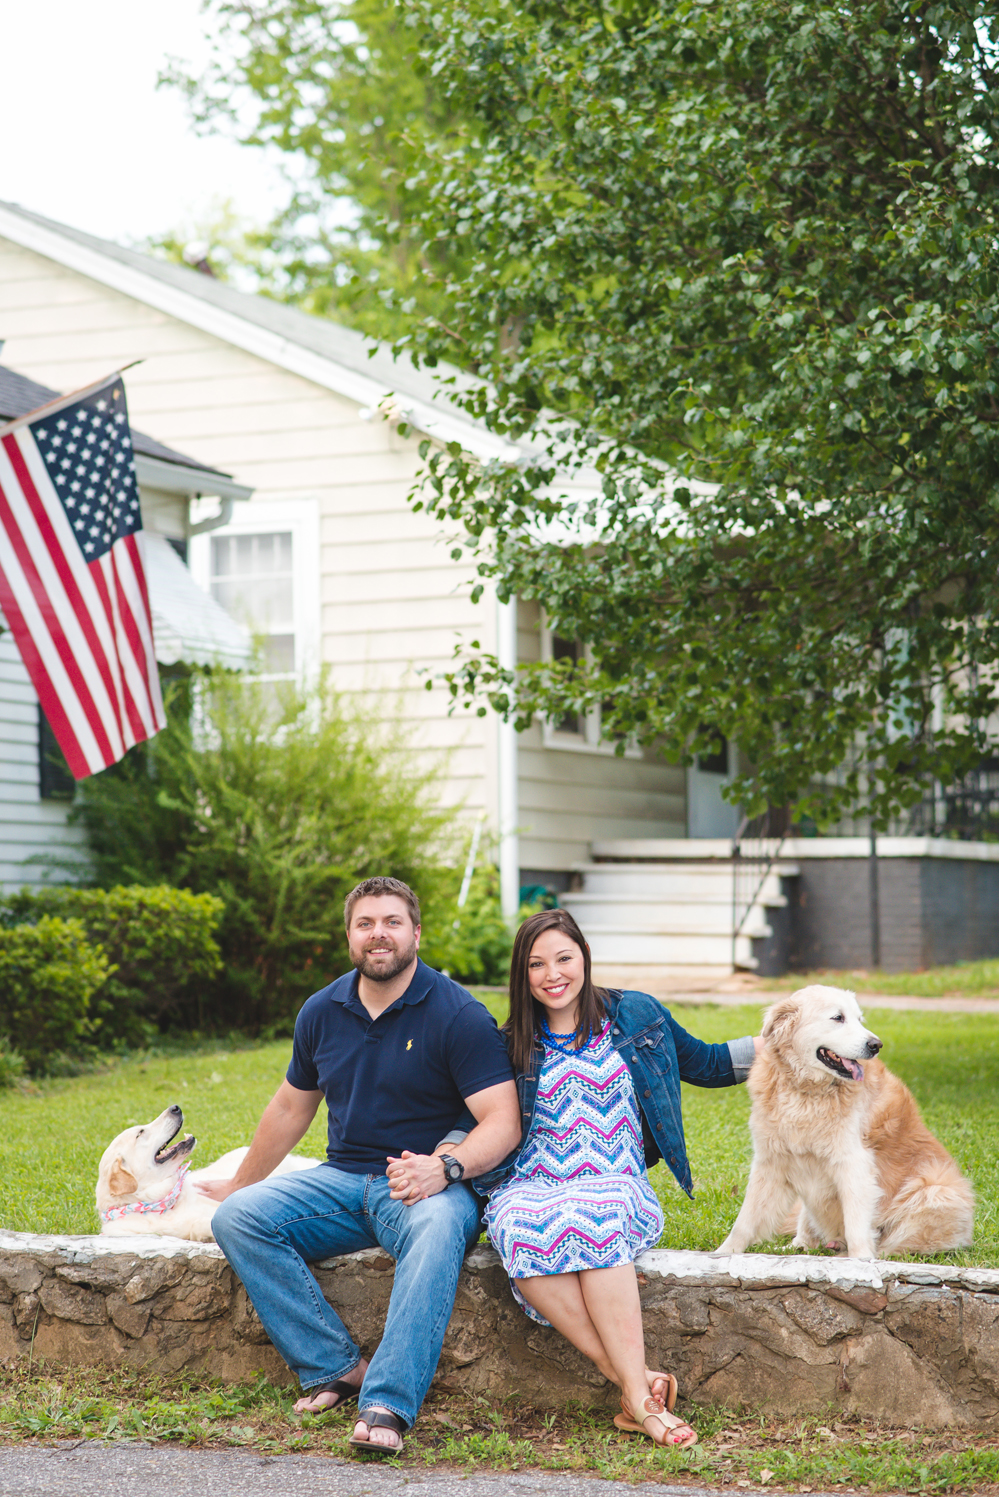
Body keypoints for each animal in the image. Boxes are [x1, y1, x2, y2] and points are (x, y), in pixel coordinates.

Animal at [718, 982, 976, 1263]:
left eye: (859, 1020)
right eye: (838, 1017)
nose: (876, 1045)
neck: (806, 1091)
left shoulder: (854, 1164)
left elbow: (856, 1225)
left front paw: (861, 1260)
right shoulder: (770, 1161)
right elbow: (745, 1220)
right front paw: (724, 1253)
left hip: (935, 1189)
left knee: (894, 1244)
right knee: (806, 1231)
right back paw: (800, 1247)